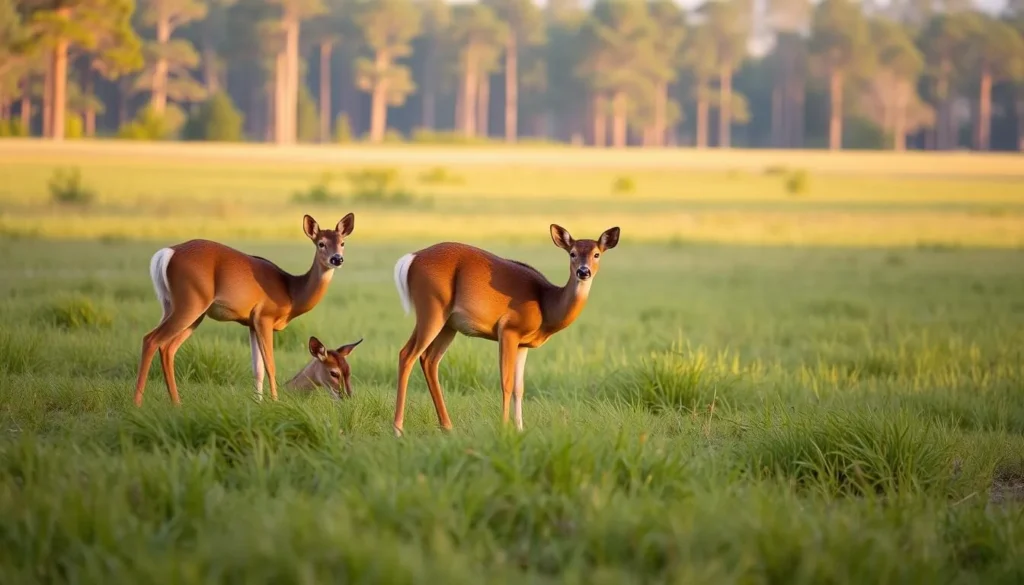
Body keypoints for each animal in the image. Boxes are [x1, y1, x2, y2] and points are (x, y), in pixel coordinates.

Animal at [134, 213, 355, 407]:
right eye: (321, 243)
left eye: (342, 243)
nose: (337, 259)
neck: (291, 290)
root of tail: (167, 254)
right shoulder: (264, 317)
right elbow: (270, 366)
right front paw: (275, 403)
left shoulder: (251, 323)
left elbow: (257, 369)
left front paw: (259, 403)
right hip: (190, 303)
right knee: (151, 339)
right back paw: (137, 403)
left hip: (177, 307)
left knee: (168, 347)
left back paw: (176, 403)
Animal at [391, 223, 620, 436]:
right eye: (572, 253)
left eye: (597, 254)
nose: (584, 271)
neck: (546, 304)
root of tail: (412, 258)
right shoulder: (509, 329)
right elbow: (506, 383)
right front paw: (503, 427)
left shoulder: (523, 344)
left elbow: (520, 387)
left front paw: (519, 428)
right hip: (432, 308)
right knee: (407, 354)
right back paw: (398, 429)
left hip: (448, 324)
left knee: (429, 360)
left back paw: (447, 426)